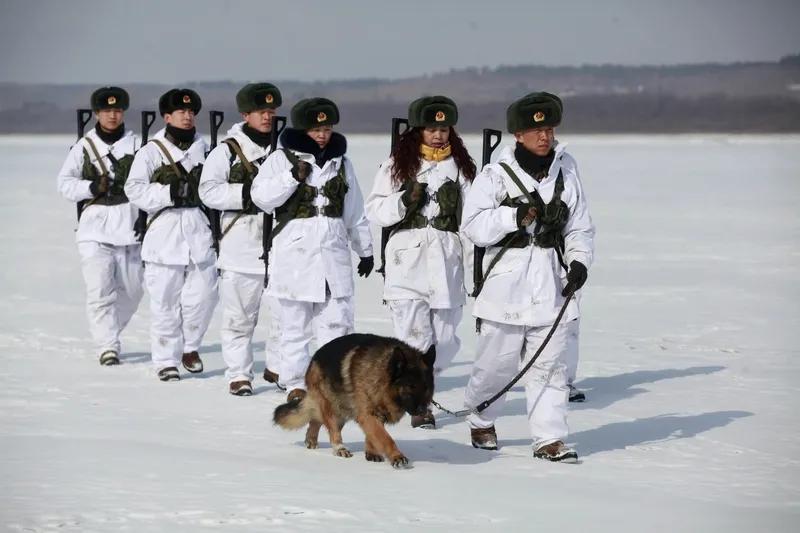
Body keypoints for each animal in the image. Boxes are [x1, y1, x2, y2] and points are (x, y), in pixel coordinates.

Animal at [276, 334, 438, 468]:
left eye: (426, 387)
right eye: (410, 387)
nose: (423, 411)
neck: (381, 374)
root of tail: (314, 357)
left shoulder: (375, 414)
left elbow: (374, 435)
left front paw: (372, 453)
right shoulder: (367, 414)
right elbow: (384, 437)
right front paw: (397, 456)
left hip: (342, 409)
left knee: (316, 420)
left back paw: (311, 440)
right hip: (334, 408)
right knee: (332, 428)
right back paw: (339, 448)